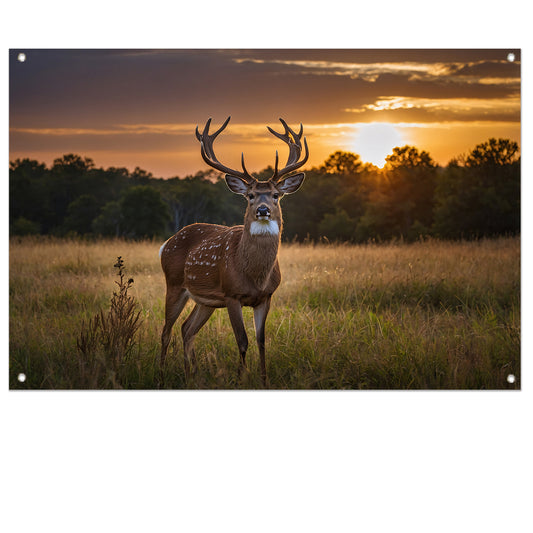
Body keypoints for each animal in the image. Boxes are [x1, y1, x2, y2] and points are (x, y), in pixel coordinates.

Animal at [158, 116, 308, 384]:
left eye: (276, 195)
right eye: (250, 195)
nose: (262, 210)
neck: (255, 275)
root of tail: (167, 243)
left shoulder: (266, 297)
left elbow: (261, 341)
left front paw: (264, 381)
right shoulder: (231, 294)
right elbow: (242, 341)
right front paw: (241, 379)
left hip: (205, 300)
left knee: (187, 329)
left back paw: (191, 375)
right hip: (174, 283)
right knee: (166, 331)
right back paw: (163, 377)